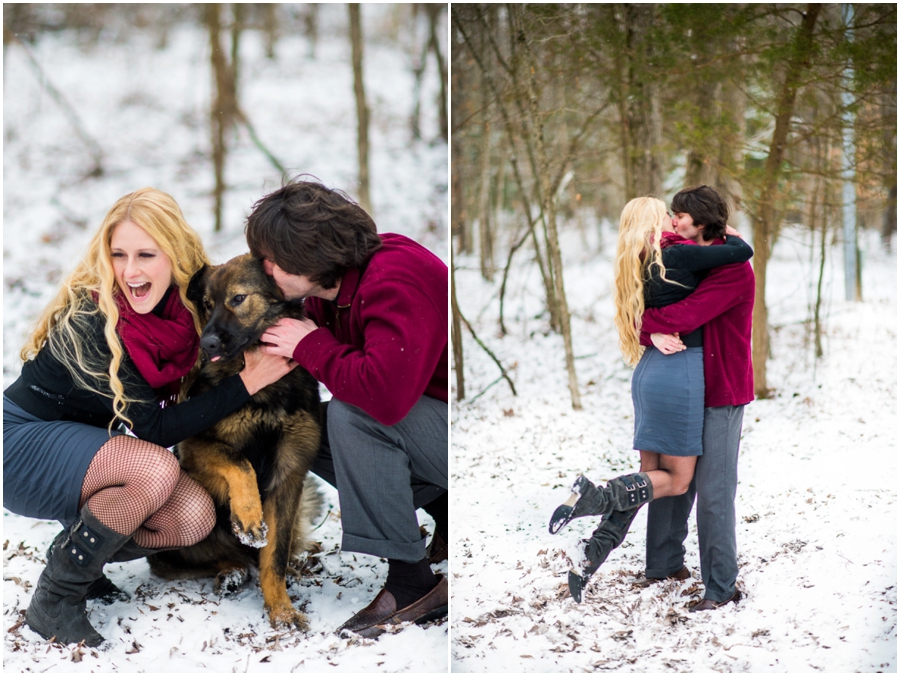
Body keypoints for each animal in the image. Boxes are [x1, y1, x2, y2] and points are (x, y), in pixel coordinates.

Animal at [150, 252, 324, 628]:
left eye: (238, 298)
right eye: (207, 304)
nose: (207, 344)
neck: (264, 391)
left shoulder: (289, 474)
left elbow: (273, 559)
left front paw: (282, 610)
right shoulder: (195, 447)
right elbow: (239, 462)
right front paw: (247, 515)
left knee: (274, 554)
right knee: (211, 559)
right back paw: (231, 571)